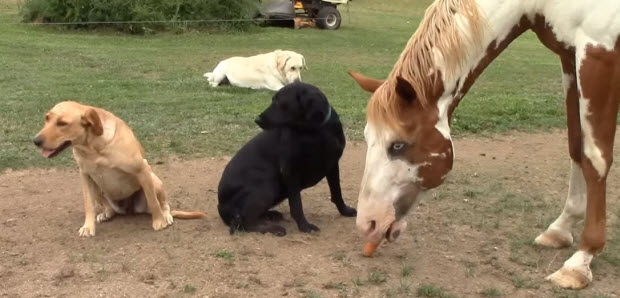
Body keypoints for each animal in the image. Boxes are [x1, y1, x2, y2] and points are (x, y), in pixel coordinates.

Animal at [34, 101, 205, 236]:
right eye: (47, 118)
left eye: (62, 123)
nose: (36, 140)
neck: (93, 147)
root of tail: (128, 209)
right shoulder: (85, 176)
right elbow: (88, 205)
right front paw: (88, 227)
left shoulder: (142, 169)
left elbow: (153, 201)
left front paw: (159, 221)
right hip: (99, 188)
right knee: (109, 207)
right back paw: (107, 213)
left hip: (153, 179)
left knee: (163, 203)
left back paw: (166, 215)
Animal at [217, 81, 356, 235]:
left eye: (279, 102)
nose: (257, 119)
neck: (314, 132)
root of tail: (221, 206)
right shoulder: (291, 171)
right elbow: (296, 205)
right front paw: (304, 226)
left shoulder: (333, 165)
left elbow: (337, 192)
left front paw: (345, 211)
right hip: (267, 186)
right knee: (245, 222)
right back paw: (273, 228)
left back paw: (271, 215)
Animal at [352, 0, 616, 290]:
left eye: (398, 145)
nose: (367, 223)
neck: (538, 5)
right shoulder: (569, 57)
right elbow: (575, 145)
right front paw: (561, 228)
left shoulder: (598, 54)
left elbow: (595, 157)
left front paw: (581, 260)